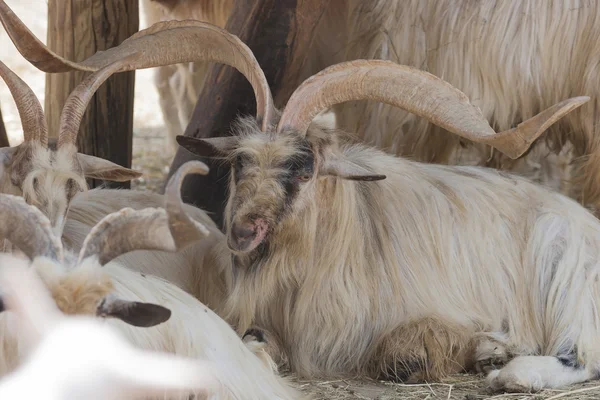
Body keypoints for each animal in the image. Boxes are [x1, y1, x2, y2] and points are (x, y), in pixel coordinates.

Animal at [177, 60, 600, 394]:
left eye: (303, 171)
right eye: (240, 163)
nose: (243, 233)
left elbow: (405, 355)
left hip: (565, 265)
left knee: (583, 354)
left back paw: (512, 374)